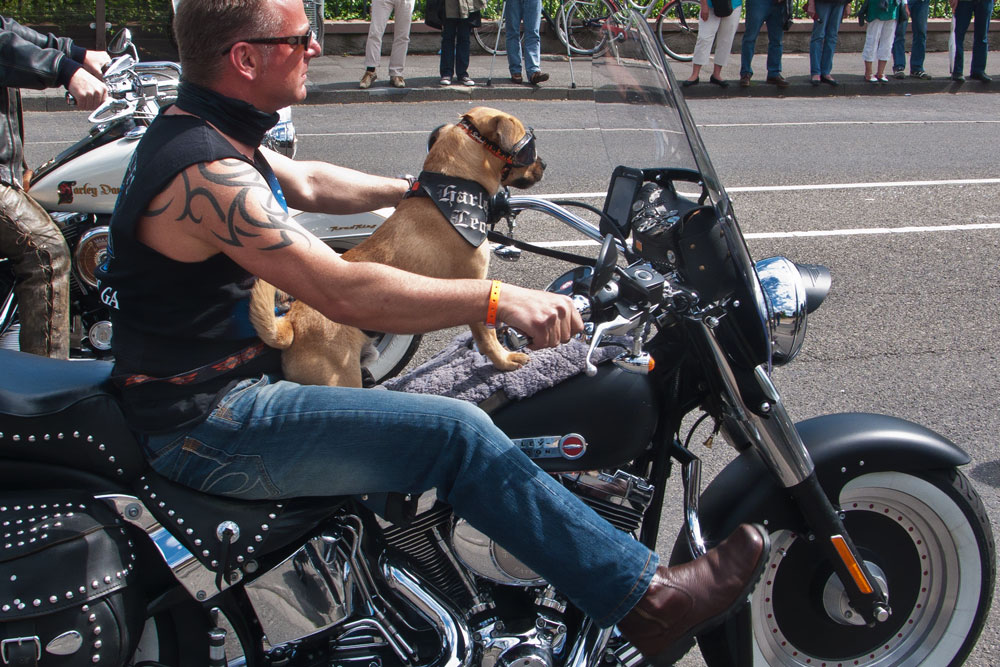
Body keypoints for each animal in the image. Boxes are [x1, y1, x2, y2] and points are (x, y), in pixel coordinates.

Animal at [250, 105, 548, 386]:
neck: (454, 187)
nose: (544, 164)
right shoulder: (478, 289)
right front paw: (504, 360)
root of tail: (291, 325)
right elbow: (488, 336)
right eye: (528, 148)